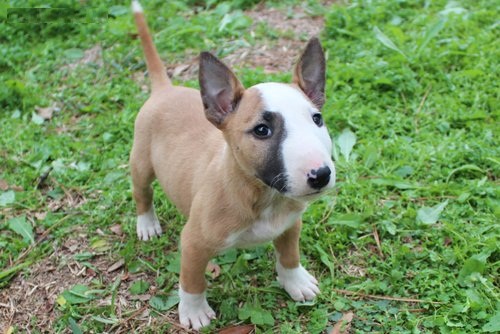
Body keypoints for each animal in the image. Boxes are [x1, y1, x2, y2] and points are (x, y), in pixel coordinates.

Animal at [130, 0, 336, 328]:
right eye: (262, 130)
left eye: (317, 119)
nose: (321, 175)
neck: (264, 196)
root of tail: (165, 89)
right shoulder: (193, 242)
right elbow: (192, 280)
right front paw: (194, 311)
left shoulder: (291, 224)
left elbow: (289, 256)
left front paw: (296, 282)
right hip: (141, 162)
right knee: (142, 192)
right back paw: (147, 224)